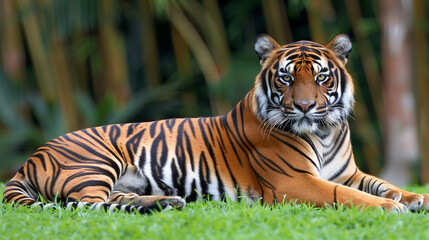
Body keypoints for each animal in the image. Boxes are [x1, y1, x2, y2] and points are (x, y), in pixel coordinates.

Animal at [3, 33, 428, 214]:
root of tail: (29, 157)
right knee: (87, 205)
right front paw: (390, 209)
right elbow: (349, 196)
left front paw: (414, 198)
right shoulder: (294, 182)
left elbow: (382, 183)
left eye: (322, 77)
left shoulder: (347, 172)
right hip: (95, 162)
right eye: (286, 78)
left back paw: (165, 202)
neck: (323, 132)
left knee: (111, 201)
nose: (306, 107)